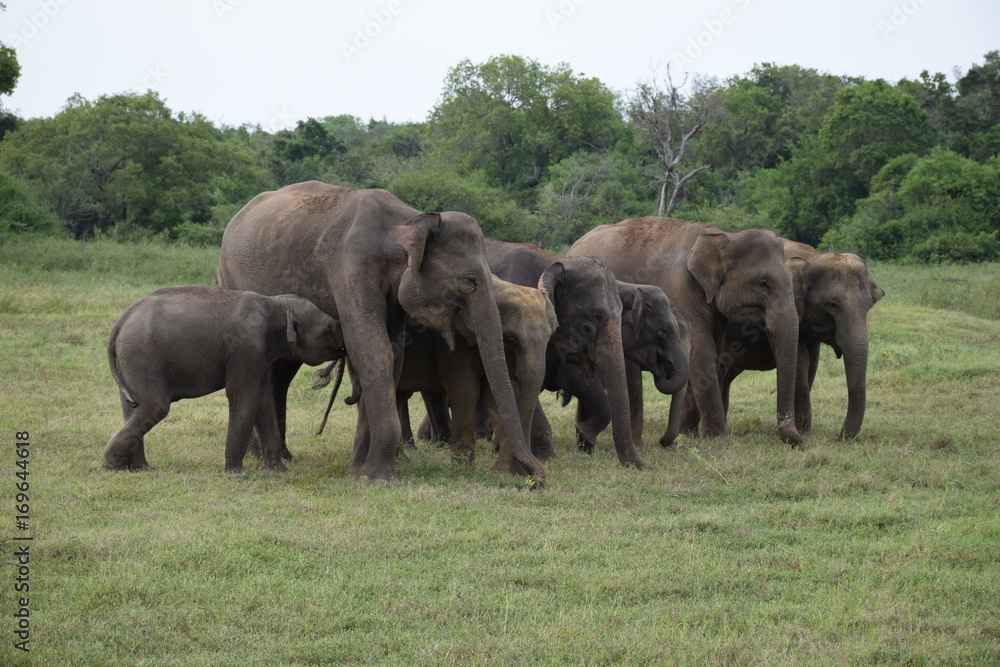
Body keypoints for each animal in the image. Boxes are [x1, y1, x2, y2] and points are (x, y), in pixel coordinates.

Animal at [102, 288, 344, 474]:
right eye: (328, 330)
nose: (322, 376)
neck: (274, 303)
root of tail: (119, 323)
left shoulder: (260, 355)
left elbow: (264, 401)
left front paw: (279, 471)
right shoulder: (246, 348)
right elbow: (244, 398)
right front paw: (236, 473)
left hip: (130, 362)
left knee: (132, 408)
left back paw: (139, 468)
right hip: (142, 357)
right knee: (155, 407)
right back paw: (114, 464)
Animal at [220, 183, 548, 486]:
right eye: (469, 281)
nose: (538, 481)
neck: (409, 220)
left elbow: (392, 354)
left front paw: (358, 472)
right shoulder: (351, 266)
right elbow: (371, 349)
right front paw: (379, 478)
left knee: (282, 372)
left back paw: (283, 456)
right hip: (231, 279)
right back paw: (259, 456)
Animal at [484, 240, 648, 470]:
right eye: (595, 316)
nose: (648, 466)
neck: (555, 262)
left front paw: (583, 436)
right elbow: (518, 383)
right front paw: (547, 459)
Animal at [572, 219, 804, 446]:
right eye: (763, 283)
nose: (797, 440)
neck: (724, 236)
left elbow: (711, 357)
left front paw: (688, 436)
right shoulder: (682, 292)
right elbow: (702, 356)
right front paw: (718, 440)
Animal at [688, 243, 884, 440]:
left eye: (869, 305)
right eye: (832, 305)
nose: (841, 436)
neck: (811, 259)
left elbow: (811, 366)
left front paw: (802, 429)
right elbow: (799, 363)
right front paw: (803, 432)